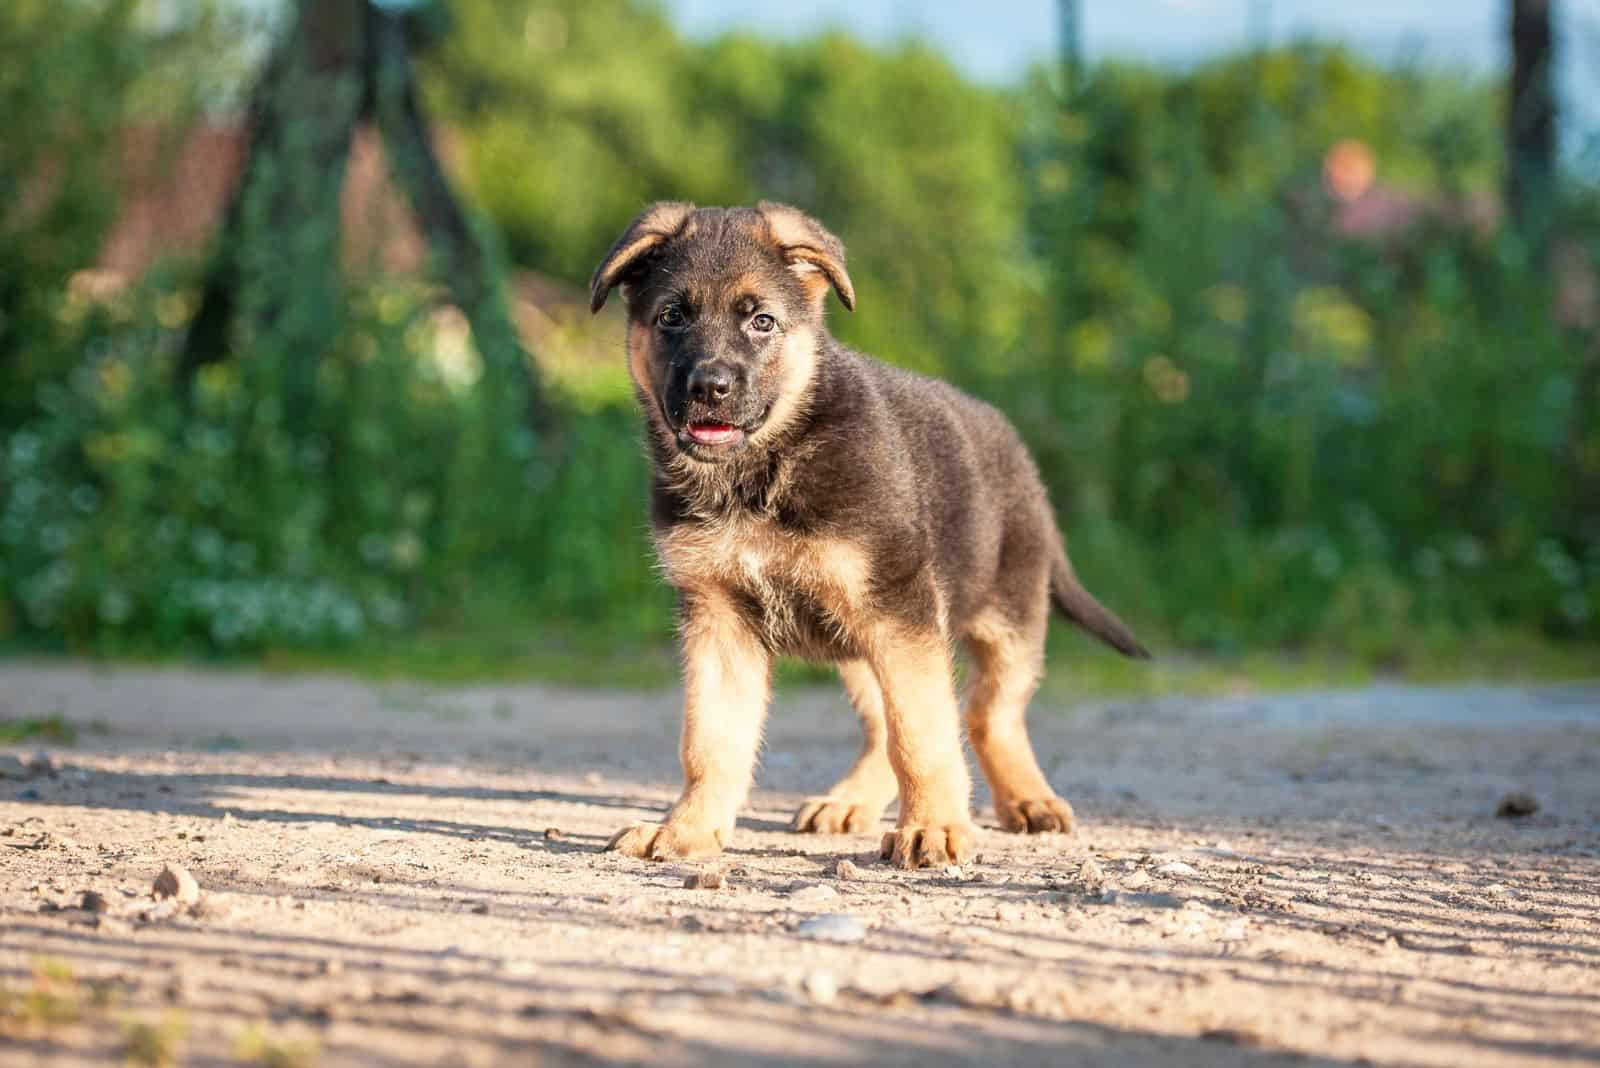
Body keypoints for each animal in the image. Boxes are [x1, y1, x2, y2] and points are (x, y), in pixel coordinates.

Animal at [595, 204, 1145, 869]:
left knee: (986, 713)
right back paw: (850, 800)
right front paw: (687, 831)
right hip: (859, 642)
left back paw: (1027, 799)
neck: (762, 472)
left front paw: (933, 827)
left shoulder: (899, 610)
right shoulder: (718, 619)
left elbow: (923, 732)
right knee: (888, 724)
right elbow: (710, 740)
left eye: (761, 321)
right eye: (671, 316)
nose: (710, 388)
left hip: (1006, 619)